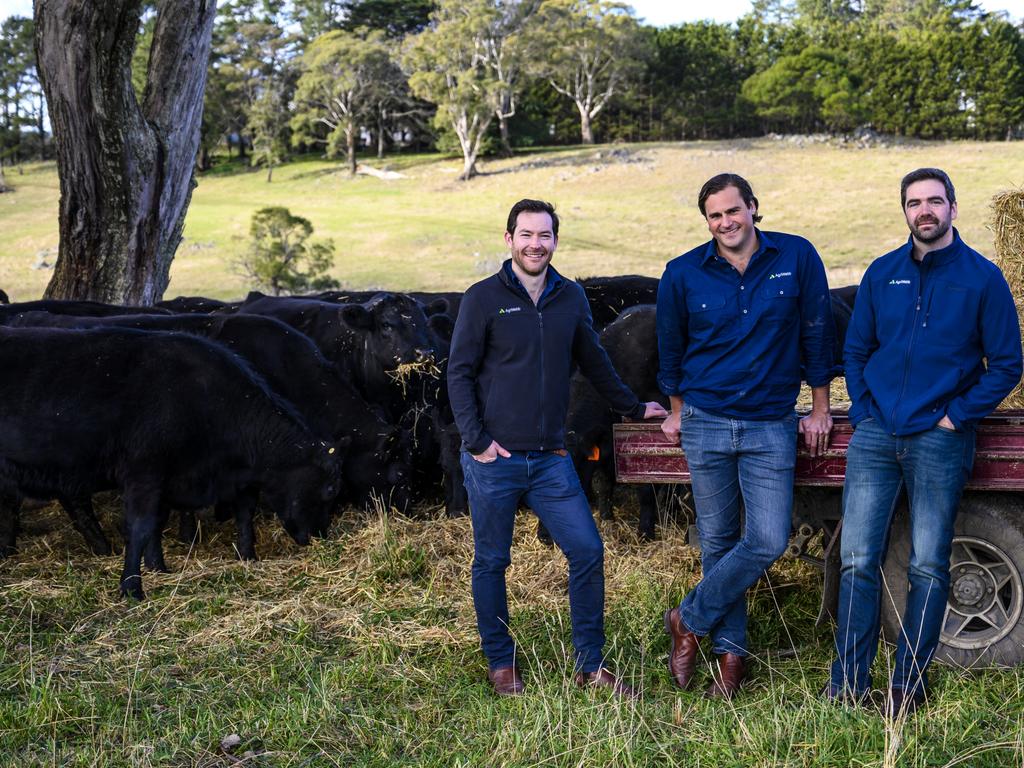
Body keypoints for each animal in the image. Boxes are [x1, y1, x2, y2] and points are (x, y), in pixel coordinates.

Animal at [0, 327, 344, 598]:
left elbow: (163, 524)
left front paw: (160, 568)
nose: (319, 536)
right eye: (329, 491)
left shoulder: (175, 479)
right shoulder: (144, 473)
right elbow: (140, 526)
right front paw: (131, 587)